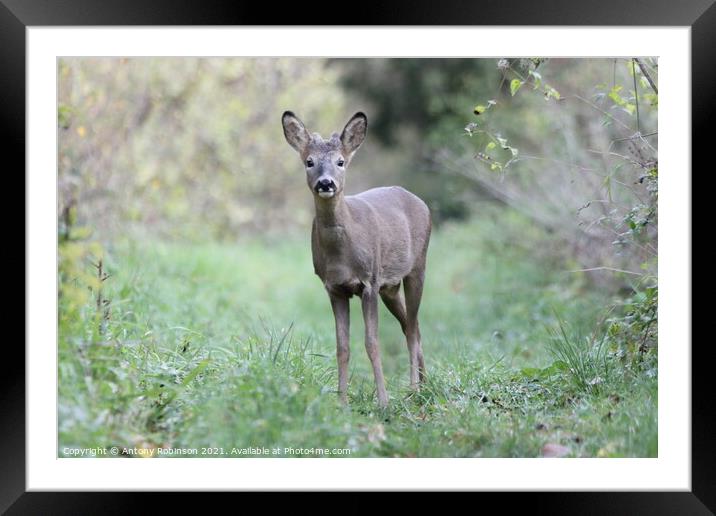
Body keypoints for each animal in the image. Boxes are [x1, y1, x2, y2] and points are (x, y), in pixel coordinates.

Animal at [282, 112, 434, 408]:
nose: (326, 183)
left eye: (341, 161)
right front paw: (342, 402)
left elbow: (372, 343)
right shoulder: (334, 288)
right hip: (390, 287)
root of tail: (419, 200)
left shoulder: (369, 282)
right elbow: (342, 346)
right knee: (412, 326)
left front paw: (383, 402)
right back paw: (425, 385)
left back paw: (414, 390)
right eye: (309, 161)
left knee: (412, 329)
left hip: (417, 268)